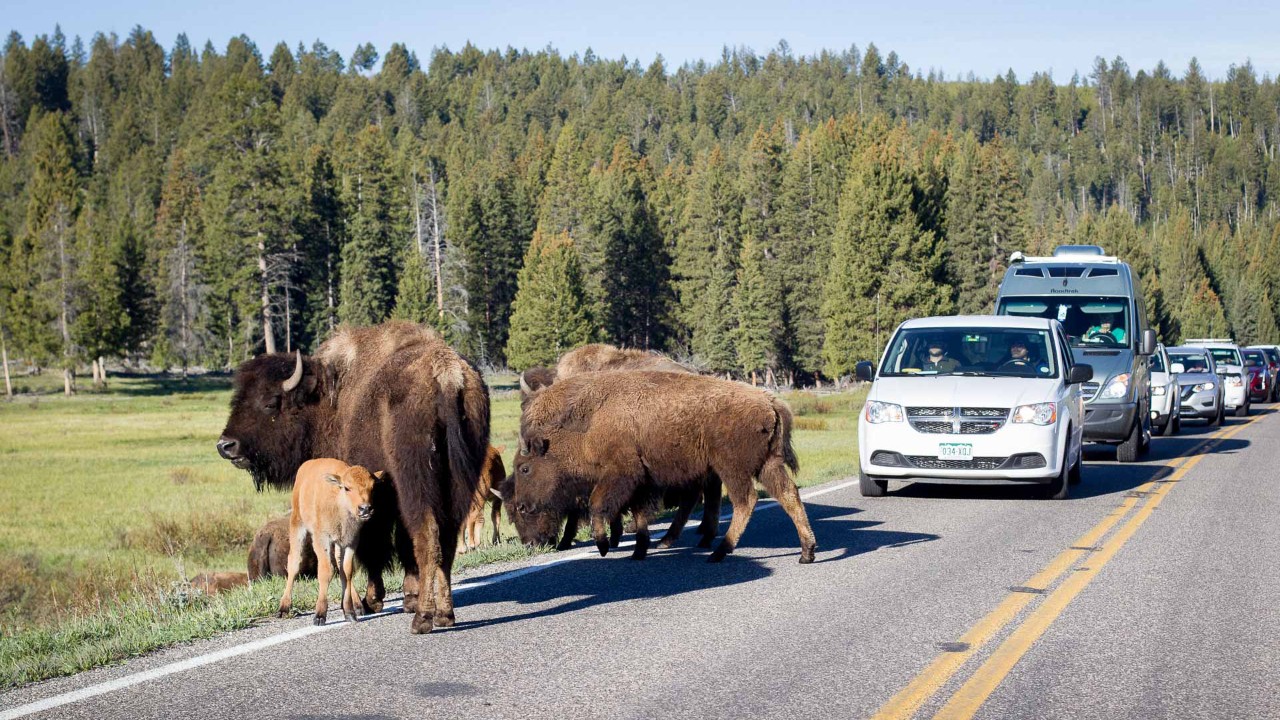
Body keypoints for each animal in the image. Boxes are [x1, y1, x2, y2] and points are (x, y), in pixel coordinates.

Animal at [217, 322, 490, 634]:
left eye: (271, 402)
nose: (226, 445)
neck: (329, 400)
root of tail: (446, 374)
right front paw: (404, 596)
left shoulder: (372, 500)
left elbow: (372, 547)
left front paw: (371, 601)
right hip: (459, 484)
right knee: (446, 539)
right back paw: (444, 613)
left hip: (416, 486)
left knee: (427, 537)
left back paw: (422, 618)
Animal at [503, 371, 817, 563]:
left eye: (524, 468)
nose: (523, 506)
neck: (590, 424)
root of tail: (770, 401)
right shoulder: (640, 482)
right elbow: (639, 514)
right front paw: (639, 551)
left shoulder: (621, 473)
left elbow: (598, 505)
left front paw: (604, 545)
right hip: (766, 465)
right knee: (788, 494)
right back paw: (807, 552)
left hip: (731, 468)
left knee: (745, 500)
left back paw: (719, 551)